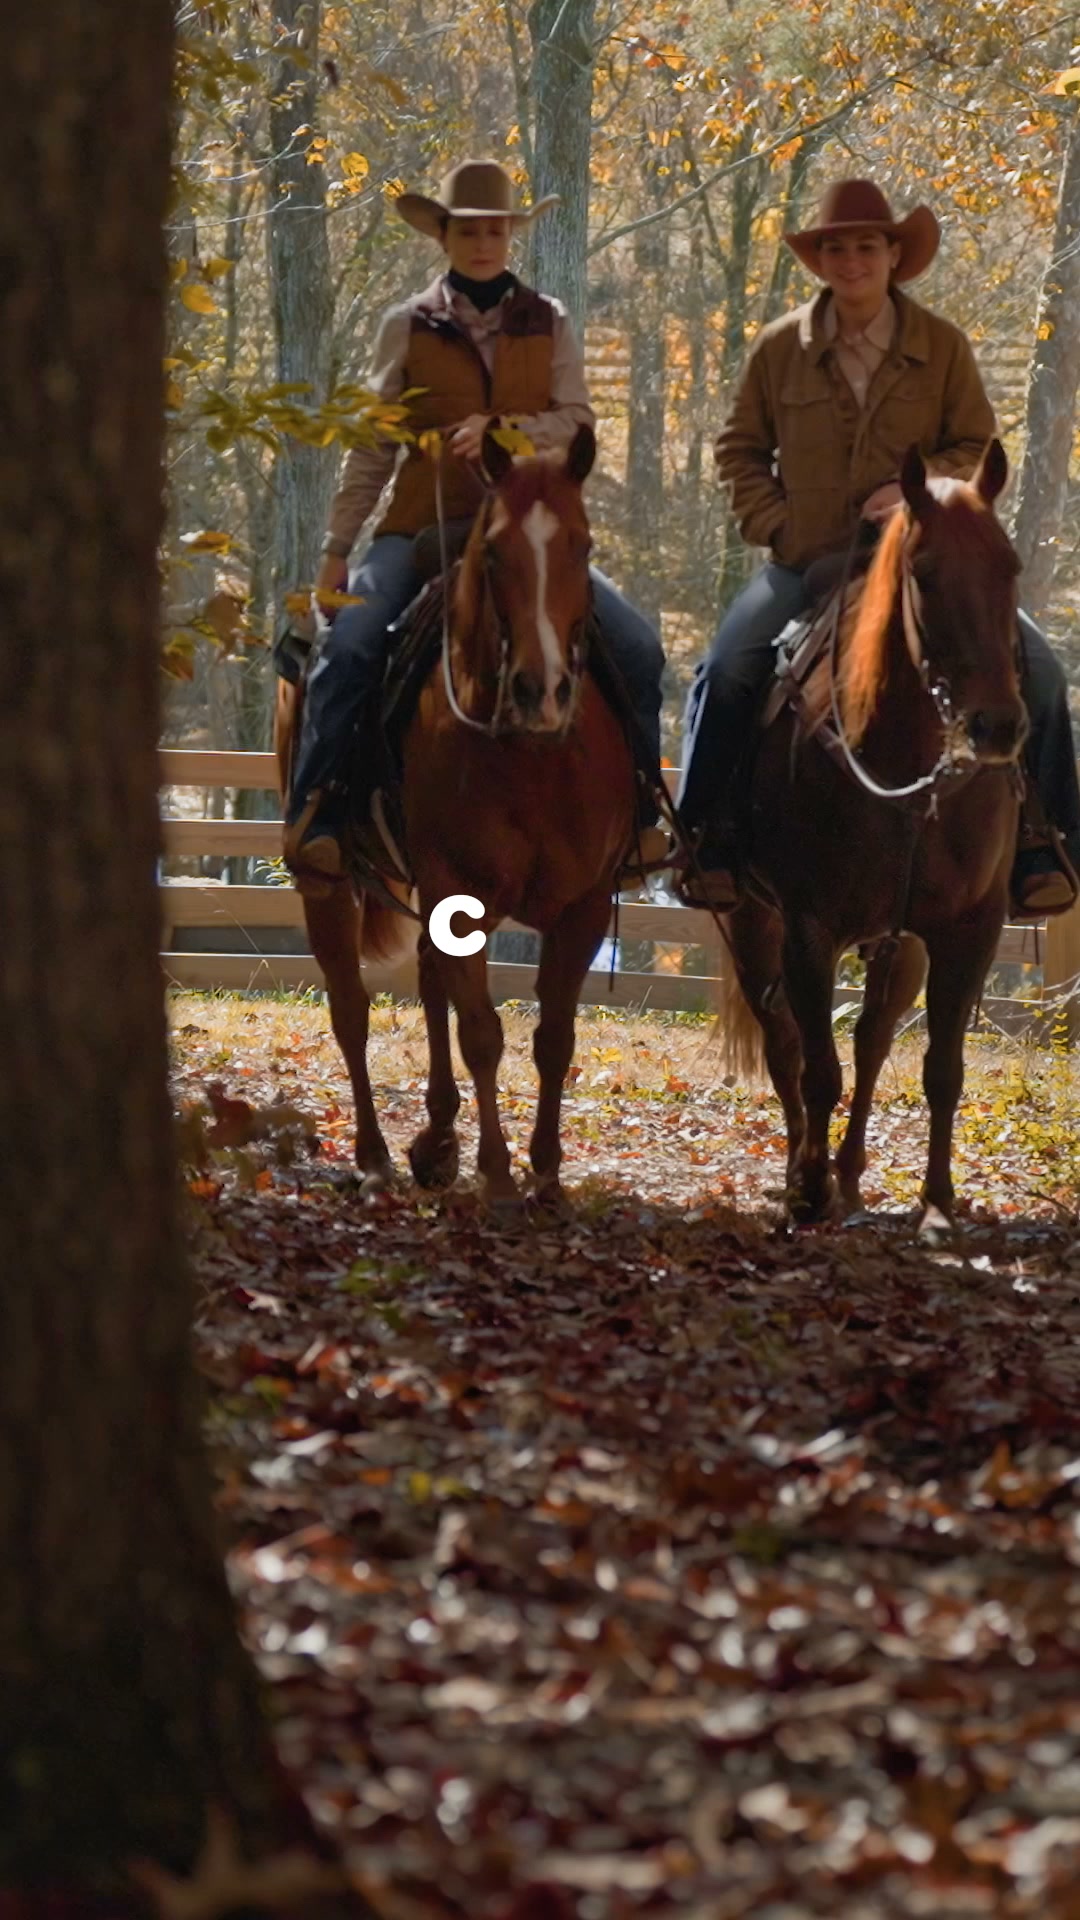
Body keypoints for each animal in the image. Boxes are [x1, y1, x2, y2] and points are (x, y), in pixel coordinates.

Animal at [275, 423, 634, 1214]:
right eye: (494, 552)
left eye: (584, 545)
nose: (541, 689)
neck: (529, 754)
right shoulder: (457, 891)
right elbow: (483, 1033)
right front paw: (498, 1173)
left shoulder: (586, 905)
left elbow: (554, 1035)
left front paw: (547, 1170)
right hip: (327, 886)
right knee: (351, 1011)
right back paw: (376, 1158)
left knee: (430, 980)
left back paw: (437, 1140)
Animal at [715, 440, 1026, 1235]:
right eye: (925, 573)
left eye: (1009, 566)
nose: (996, 726)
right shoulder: (807, 929)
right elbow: (816, 1068)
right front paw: (807, 1189)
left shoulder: (968, 930)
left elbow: (941, 1069)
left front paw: (938, 1201)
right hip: (750, 921)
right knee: (786, 1043)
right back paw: (808, 1173)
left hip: (899, 944)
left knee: (873, 1038)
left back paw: (852, 1176)